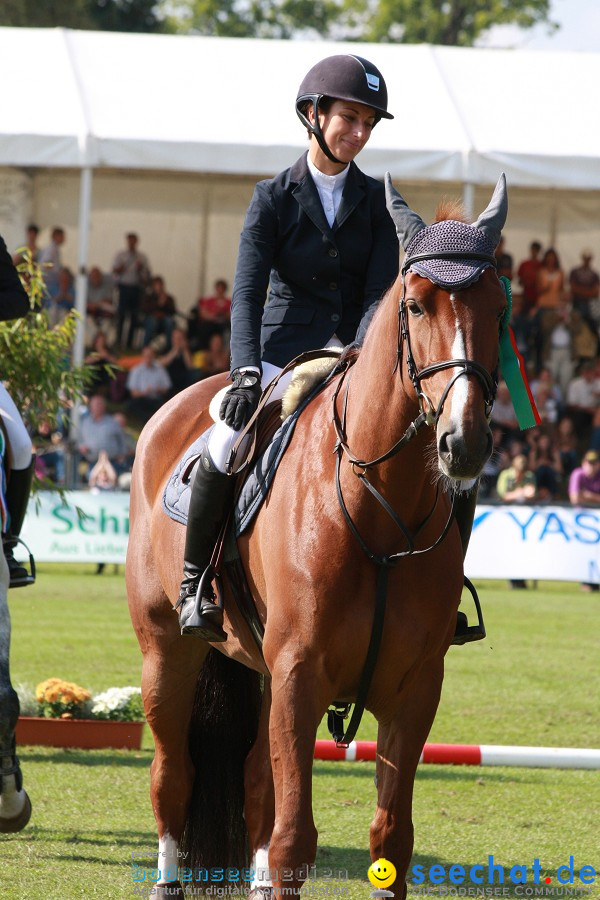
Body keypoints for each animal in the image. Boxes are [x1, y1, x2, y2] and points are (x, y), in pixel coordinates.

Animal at [126, 176, 506, 900]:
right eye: (415, 305)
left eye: (500, 308)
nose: (463, 443)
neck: (380, 513)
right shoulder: (301, 675)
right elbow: (294, 840)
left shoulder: (413, 689)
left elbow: (390, 838)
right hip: (168, 651)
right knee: (172, 772)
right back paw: (167, 880)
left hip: (262, 669)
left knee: (254, 784)